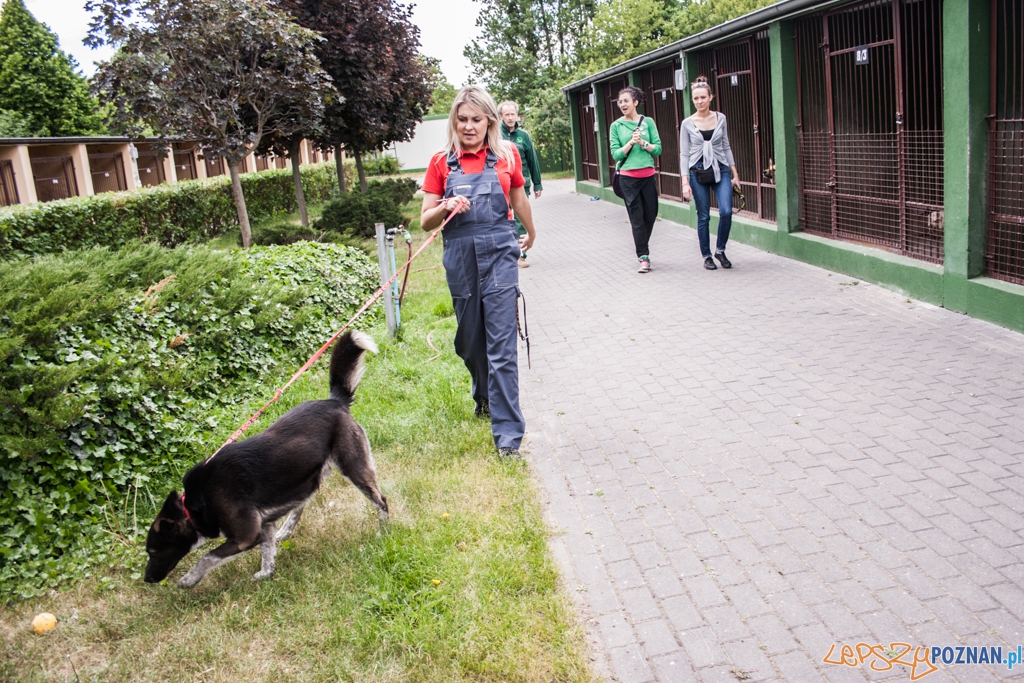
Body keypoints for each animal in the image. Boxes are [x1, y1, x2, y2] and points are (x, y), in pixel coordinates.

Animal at [142, 331, 385, 589]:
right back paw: (286, 530)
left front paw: (189, 579)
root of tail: (334, 401)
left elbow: (208, 556)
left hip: (353, 466)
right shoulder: (264, 525)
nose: (147, 578)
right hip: (305, 478)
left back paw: (384, 532)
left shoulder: (246, 536)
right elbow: (267, 552)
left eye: (153, 552)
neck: (196, 502)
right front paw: (266, 573)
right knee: (301, 504)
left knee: (381, 501)